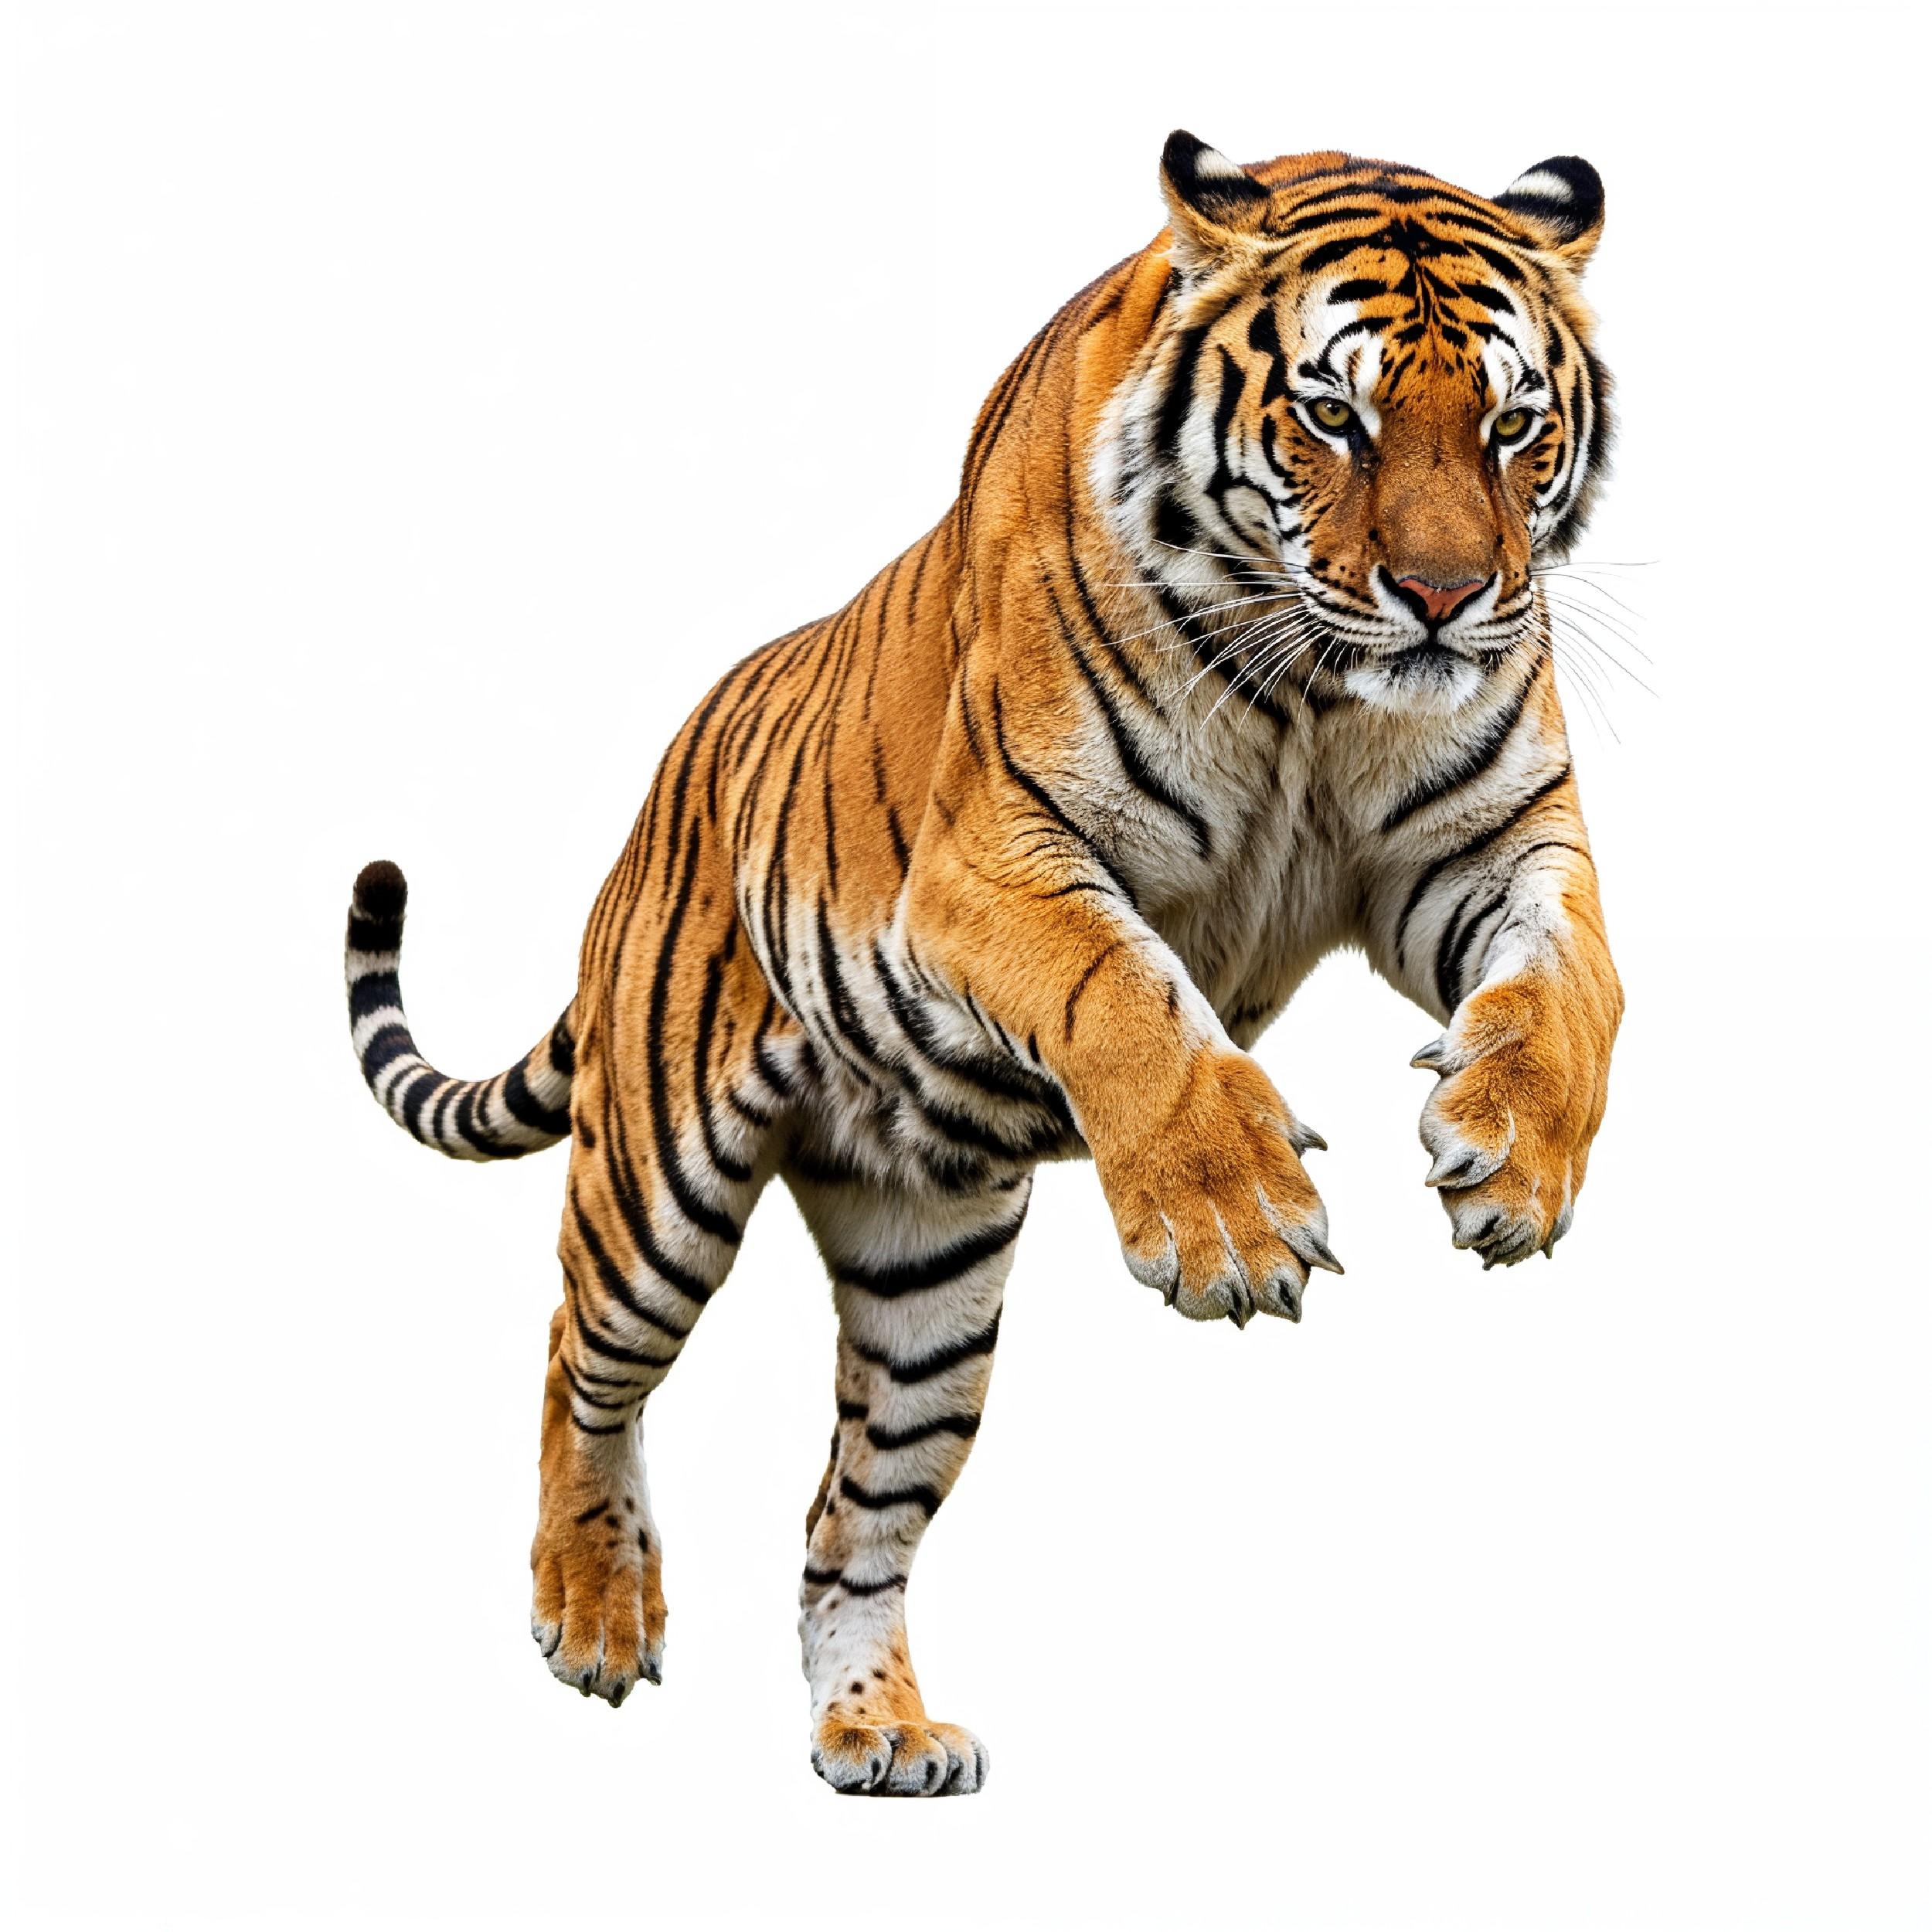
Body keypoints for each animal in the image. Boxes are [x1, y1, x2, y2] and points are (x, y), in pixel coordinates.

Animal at [344, 131, 1623, 1796]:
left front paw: (1513, 1154)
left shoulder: (1490, 837)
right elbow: (1121, 985)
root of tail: (651, 803)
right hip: (654, 1187)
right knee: (577, 1355)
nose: (1446, 597)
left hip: (927, 1278)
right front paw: (1231, 1217)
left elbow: (1576, 989)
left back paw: (875, 1731)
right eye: (1331, 416)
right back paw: (595, 1609)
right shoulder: (993, 852)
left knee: (849, 1515)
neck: (1315, 697)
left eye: (1511, 424)